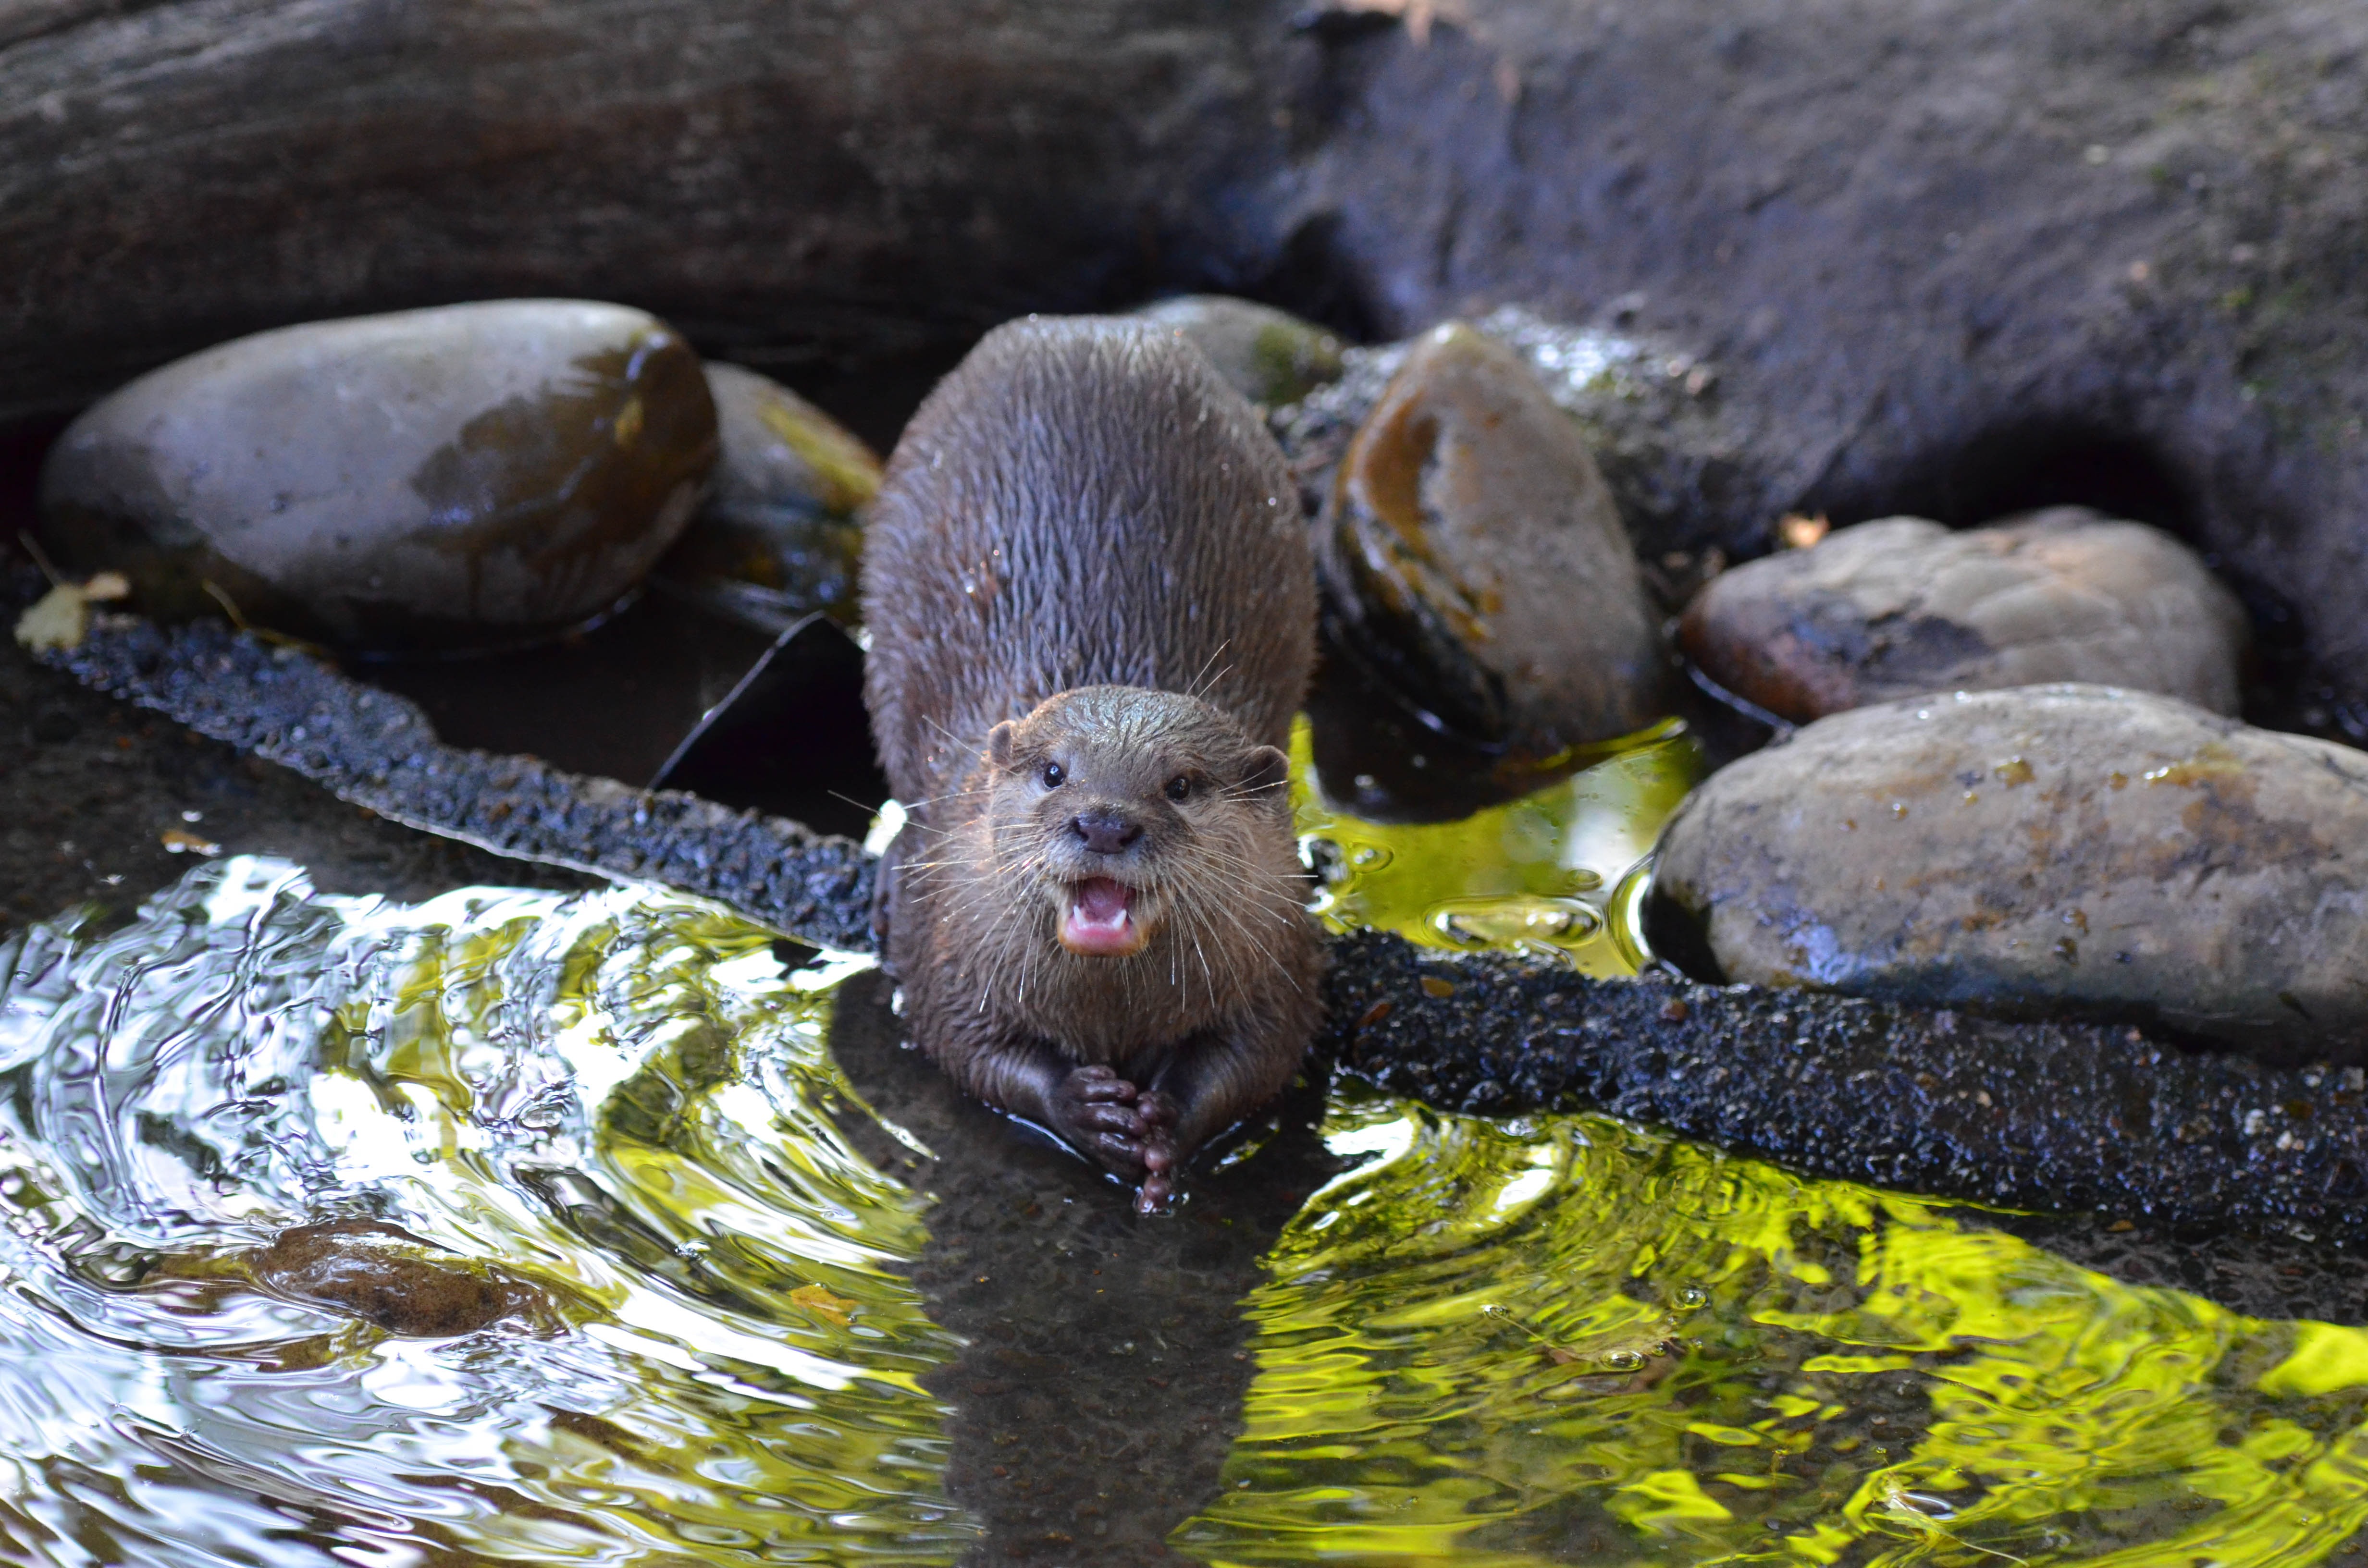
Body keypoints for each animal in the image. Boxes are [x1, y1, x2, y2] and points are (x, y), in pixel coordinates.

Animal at [862, 312, 1326, 1208]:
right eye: (1054, 772)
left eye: (1180, 785)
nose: (1105, 821)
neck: (1111, 1014)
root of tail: (1091, 327)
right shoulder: (946, 938)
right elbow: (956, 1040)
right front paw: (1083, 1111)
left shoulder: (1281, 946)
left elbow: (1261, 1054)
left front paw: (1168, 1122)